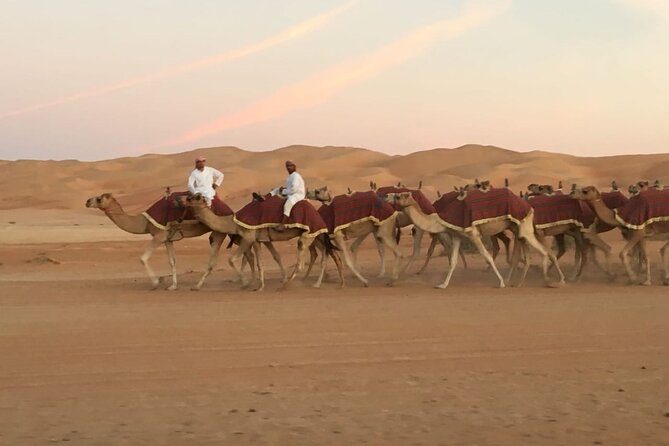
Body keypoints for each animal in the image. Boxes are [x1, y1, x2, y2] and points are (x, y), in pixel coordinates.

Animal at [186, 193, 344, 290]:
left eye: (195, 197)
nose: (184, 198)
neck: (233, 222)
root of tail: (316, 212)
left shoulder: (249, 236)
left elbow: (232, 259)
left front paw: (245, 283)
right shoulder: (258, 240)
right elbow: (261, 262)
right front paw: (259, 286)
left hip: (308, 235)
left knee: (302, 261)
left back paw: (286, 286)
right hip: (317, 234)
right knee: (332, 254)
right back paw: (335, 283)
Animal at [387, 191, 566, 288]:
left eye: (400, 195)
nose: (387, 195)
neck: (442, 218)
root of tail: (529, 206)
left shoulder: (473, 234)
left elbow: (487, 256)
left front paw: (500, 283)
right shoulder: (458, 236)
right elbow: (453, 261)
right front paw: (442, 285)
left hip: (524, 227)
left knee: (544, 251)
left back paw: (550, 281)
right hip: (518, 229)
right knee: (525, 254)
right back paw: (519, 283)